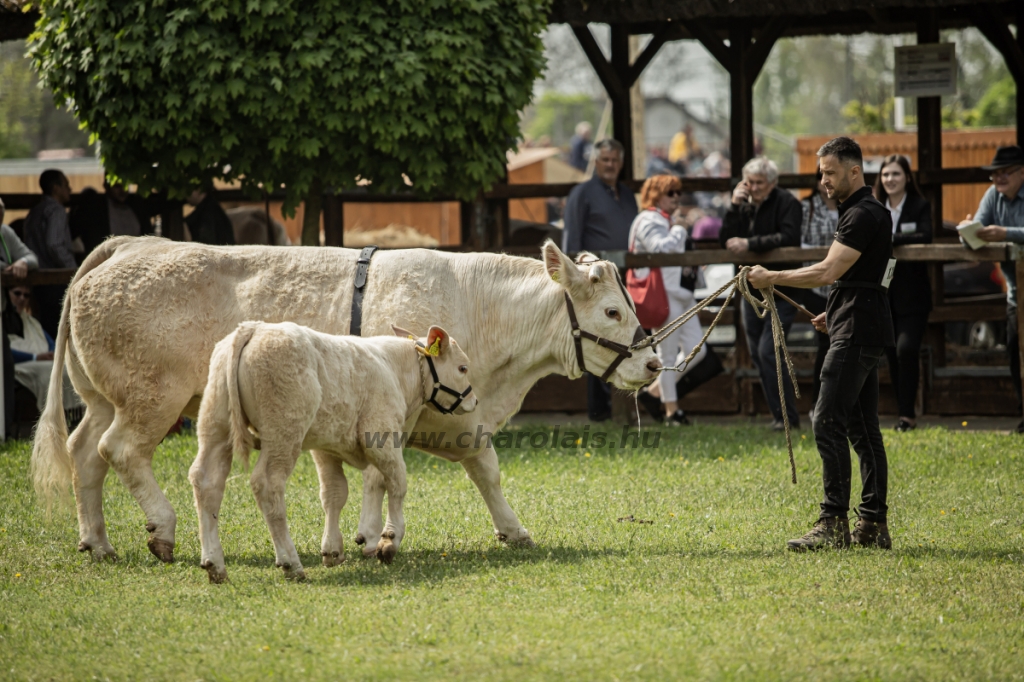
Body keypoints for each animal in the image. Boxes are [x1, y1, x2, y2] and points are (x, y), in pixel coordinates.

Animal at [189, 321, 475, 581]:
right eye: (463, 367)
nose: (474, 400)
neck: (395, 370)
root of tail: (253, 328)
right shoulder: (380, 437)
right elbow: (397, 483)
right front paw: (389, 540)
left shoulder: (326, 447)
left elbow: (334, 494)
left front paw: (332, 550)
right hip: (283, 431)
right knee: (267, 484)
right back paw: (291, 564)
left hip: (215, 422)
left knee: (206, 480)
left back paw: (214, 564)